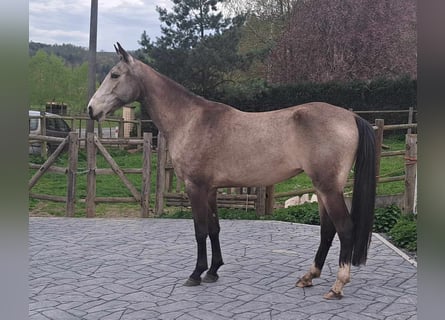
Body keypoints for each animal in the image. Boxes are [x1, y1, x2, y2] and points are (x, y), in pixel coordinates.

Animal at [88, 42, 376, 300]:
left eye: (115, 75)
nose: (91, 109)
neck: (191, 120)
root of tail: (351, 117)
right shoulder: (211, 189)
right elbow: (214, 228)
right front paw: (213, 271)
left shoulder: (195, 187)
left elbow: (200, 230)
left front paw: (196, 274)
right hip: (322, 188)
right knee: (327, 231)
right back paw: (308, 277)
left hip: (328, 188)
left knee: (344, 228)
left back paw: (337, 286)